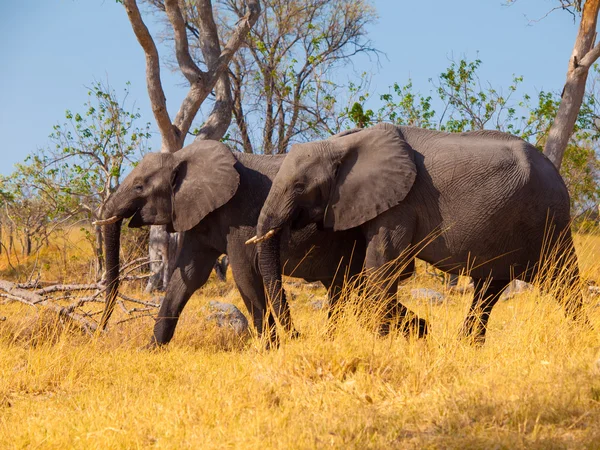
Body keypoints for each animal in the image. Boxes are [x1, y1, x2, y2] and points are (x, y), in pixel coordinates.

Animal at [97, 139, 366, 346]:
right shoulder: (201, 215)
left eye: (139, 186)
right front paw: (151, 349)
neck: (181, 157)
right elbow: (188, 277)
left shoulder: (240, 214)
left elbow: (244, 273)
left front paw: (270, 350)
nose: (100, 330)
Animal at [251, 121, 588, 342]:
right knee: (490, 287)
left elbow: (382, 263)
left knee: (562, 279)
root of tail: (559, 177)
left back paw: (579, 337)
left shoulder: (400, 203)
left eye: (299, 186)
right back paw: (467, 345)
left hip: (546, 218)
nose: (298, 335)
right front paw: (415, 331)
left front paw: (382, 341)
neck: (343, 143)